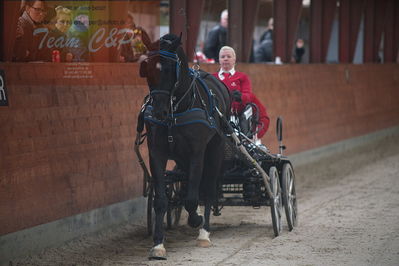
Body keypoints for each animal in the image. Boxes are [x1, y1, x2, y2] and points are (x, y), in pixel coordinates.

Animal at [139, 33, 230, 260]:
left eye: (170, 69)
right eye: (147, 69)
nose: (159, 111)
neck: (177, 110)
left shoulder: (198, 152)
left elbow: (193, 198)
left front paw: (196, 220)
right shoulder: (157, 152)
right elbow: (161, 200)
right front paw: (158, 244)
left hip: (214, 151)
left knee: (208, 189)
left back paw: (204, 232)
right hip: (183, 157)